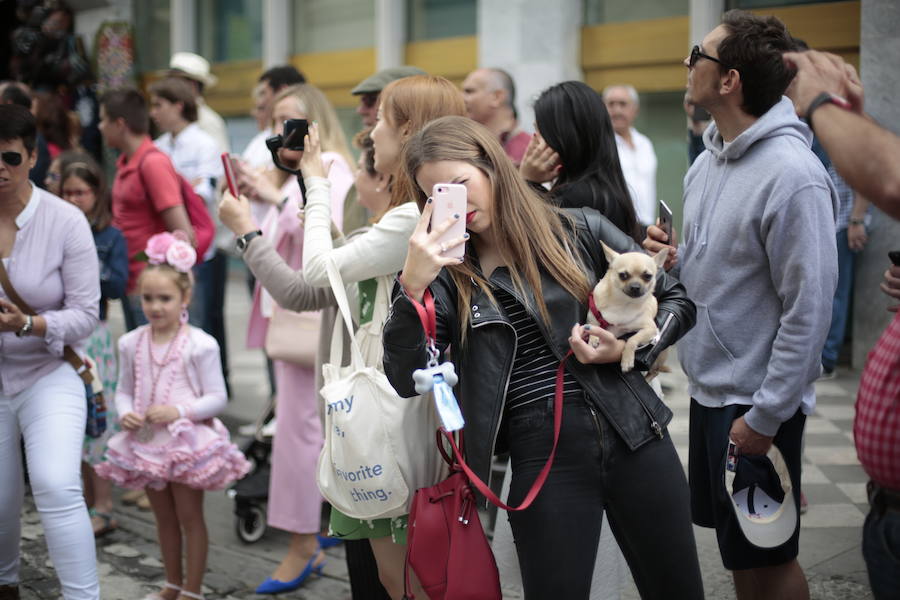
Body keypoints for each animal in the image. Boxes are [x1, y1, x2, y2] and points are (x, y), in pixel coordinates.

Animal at [588, 240, 672, 372]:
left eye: (648, 276)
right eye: (623, 275)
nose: (635, 286)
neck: (623, 302)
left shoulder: (651, 329)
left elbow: (632, 340)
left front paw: (627, 360)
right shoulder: (593, 314)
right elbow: (592, 325)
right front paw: (593, 338)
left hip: (658, 359)